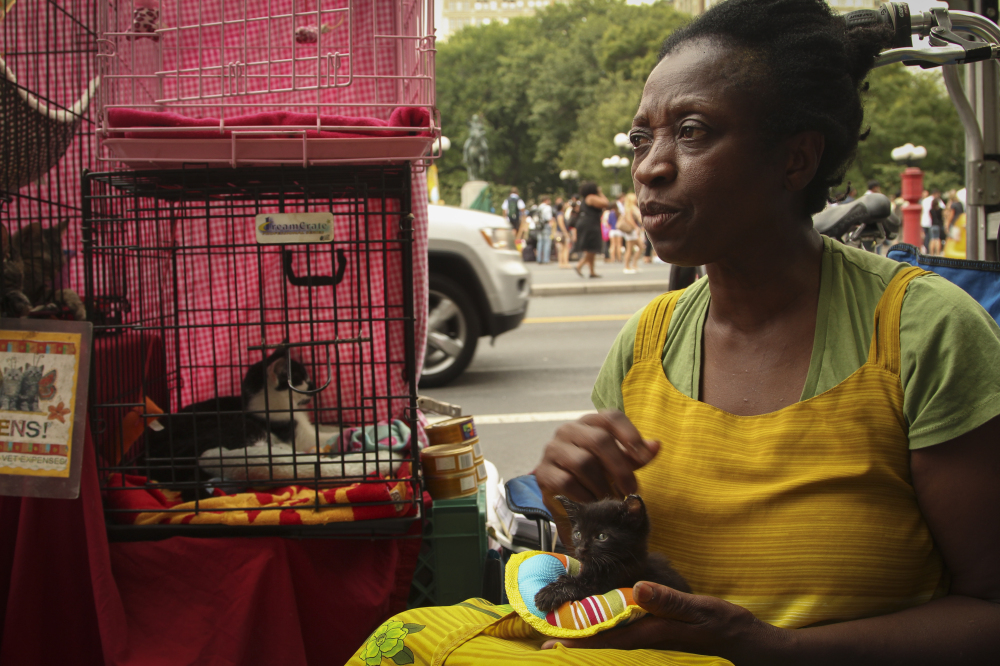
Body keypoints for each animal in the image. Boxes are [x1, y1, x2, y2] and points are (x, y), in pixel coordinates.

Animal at [536, 492, 692, 612]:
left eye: (602, 536)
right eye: (578, 534)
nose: (581, 549)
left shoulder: (609, 585)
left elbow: (583, 587)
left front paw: (551, 592)